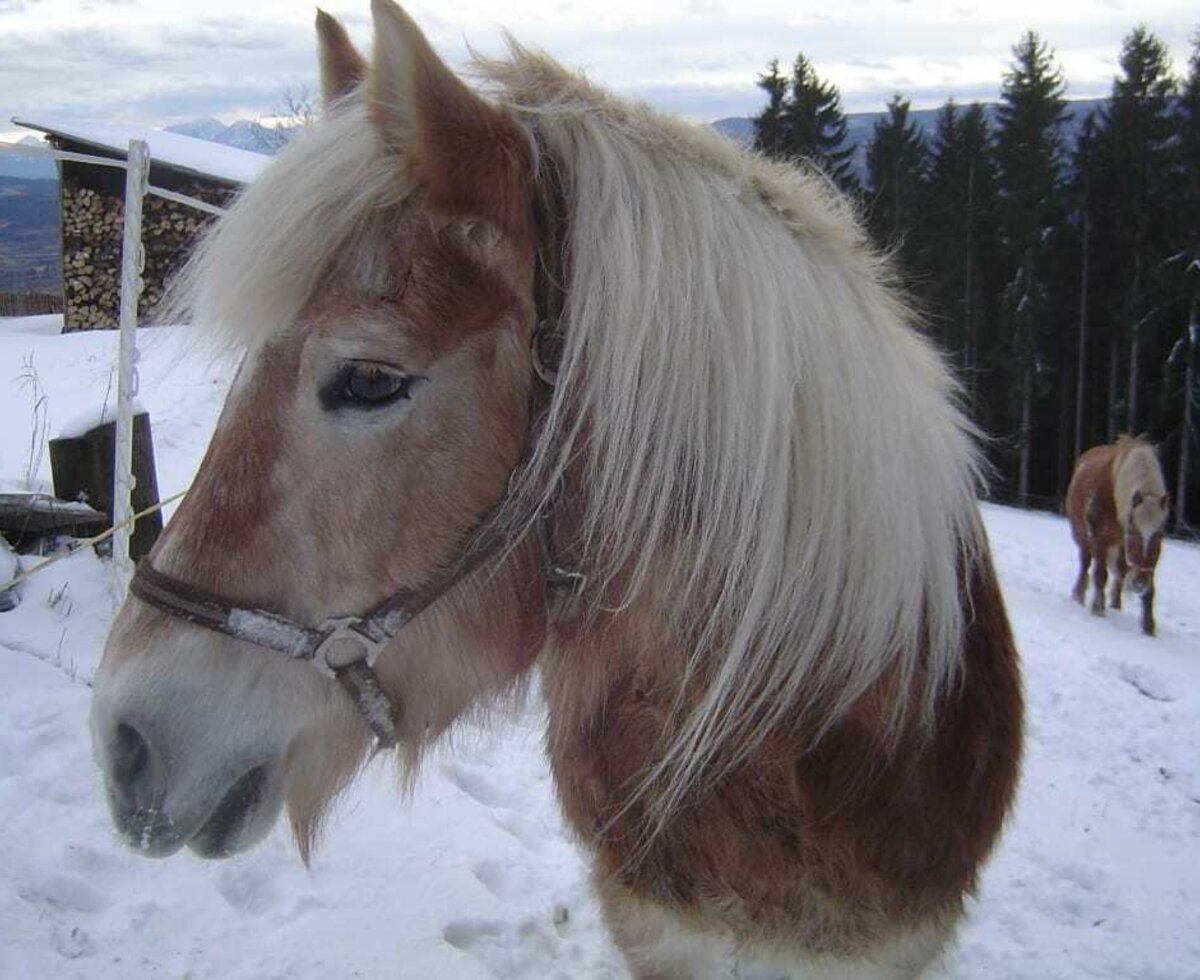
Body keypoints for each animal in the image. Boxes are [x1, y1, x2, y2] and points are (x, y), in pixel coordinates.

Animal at [1070, 434, 1171, 633]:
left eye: (1159, 535)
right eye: (1133, 530)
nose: (1139, 583)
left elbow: (1150, 590)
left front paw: (1148, 626)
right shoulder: (1099, 538)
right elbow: (1100, 575)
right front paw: (1098, 609)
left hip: (1120, 547)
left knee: (1121, 572)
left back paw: (1116, 605)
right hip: (1082, 535)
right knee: (1085, 563)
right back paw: (1078, 596)